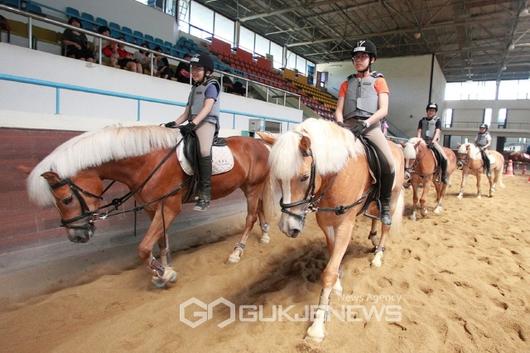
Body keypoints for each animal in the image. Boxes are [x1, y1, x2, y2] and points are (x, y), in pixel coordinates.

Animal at [24, 125, 272, 288]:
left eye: (66, 199)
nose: (76, 236)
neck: (148, 162)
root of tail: (260, 144)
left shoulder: (169, 207)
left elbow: (143, 248)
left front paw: (164, 274)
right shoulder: (152, 208)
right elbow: (160, 240)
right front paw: (164, 268)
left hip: (253, 187)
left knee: (249, 217)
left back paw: (237, 253)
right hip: (250, 187)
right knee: (259, 209)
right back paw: (265, 235)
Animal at [264, 117, 404, 340]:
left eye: (304, 177)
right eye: (279, 178)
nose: (287, 228)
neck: (337, 175)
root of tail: (396, 147)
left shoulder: (345, 226)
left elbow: (328, 272)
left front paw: (317, 326)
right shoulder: (328, 224)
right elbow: (333, 258)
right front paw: (337, 283)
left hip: (394, 196)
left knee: (385, 226)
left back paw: (378, 255)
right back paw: (373, 240)